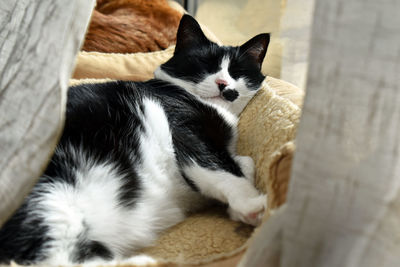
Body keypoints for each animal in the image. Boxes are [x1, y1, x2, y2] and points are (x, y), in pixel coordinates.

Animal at [0, 15, 270, 266]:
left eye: (238, 72)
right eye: (204, 64)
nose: (223, 83)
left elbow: (242, 161)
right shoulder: (185, 128)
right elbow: (219, 165)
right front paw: (252, 204)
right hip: (51, 199)